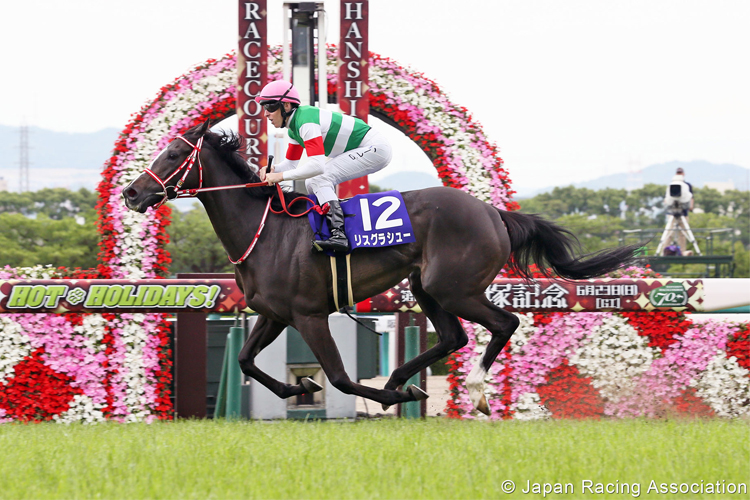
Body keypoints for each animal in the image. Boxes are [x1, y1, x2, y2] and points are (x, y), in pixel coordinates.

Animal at [123, 123, 640, 416]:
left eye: (174, 155)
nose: (131, 193)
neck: (265, 232)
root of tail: (493, 213)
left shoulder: (309, 315)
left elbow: (339, 378)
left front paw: (393, 398)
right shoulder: (274, 314)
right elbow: (247, 360)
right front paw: (299, 387)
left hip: (453, 287)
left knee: (503, 323)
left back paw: (472, 391)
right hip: (426, 285)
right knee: (454, 336)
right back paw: (398, 379)